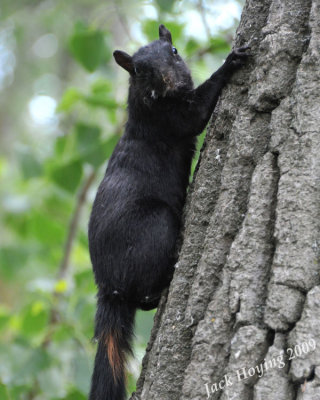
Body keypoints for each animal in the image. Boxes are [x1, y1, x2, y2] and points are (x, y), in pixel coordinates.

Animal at [88, 25, 250, 400]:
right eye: (139, 70)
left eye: (174, 51)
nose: (168, 80)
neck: (145, 102)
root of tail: (107, 286)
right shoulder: (168, 118)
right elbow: (197, 114)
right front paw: (231, 61)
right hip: (156, 227)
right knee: (144, 295)